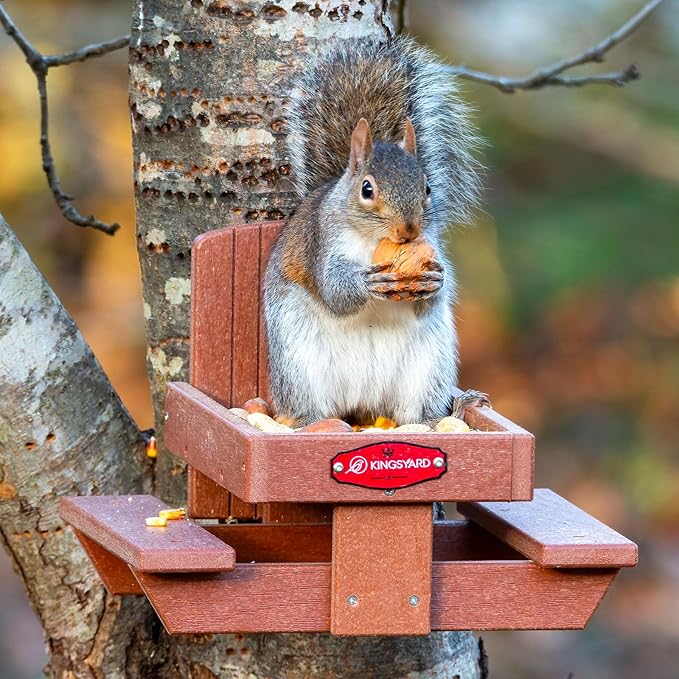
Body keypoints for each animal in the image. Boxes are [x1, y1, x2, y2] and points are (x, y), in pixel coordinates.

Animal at [264, 35, 488, 427]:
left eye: (427, 187)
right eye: (367, 189)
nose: (409, 229)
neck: (373, 241)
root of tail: (362, 403)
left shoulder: (431, 243)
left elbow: (432, 296)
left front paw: (436, 280)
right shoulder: (322, 243)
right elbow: (334, 291)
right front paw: (365, 282)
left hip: (428, 366)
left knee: (418, 414)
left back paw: (450, 412)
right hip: (298, 363)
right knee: (308, 408)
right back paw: (306, 422)